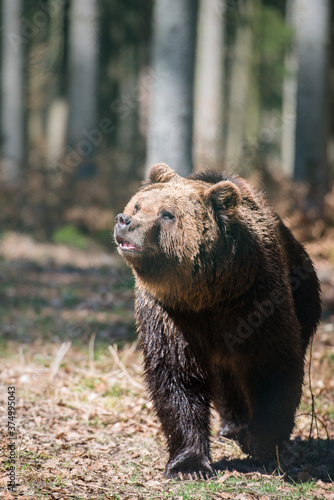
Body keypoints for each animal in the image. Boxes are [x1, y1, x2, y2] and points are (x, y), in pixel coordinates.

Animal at [113, 164, 320, 480]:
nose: (124, 220)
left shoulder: (256, 301)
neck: (206, 296)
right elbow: (177, 377)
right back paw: (232, 425)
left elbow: (273, 366)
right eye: (137, 205)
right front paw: (189, 465)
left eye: (166, 214)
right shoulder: (170, 315)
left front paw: (258, 443)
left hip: (305, 296)